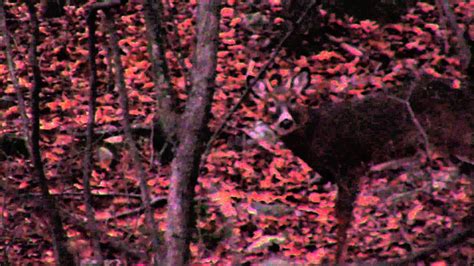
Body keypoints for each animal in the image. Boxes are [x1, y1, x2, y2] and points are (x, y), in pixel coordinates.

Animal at [250, 68, 472, 264]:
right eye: (270, 104)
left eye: (293, 99)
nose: (286, 122)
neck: (313, 137)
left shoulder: (349, 166)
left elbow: (343, 218)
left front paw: (337, 260)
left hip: (455, 134)